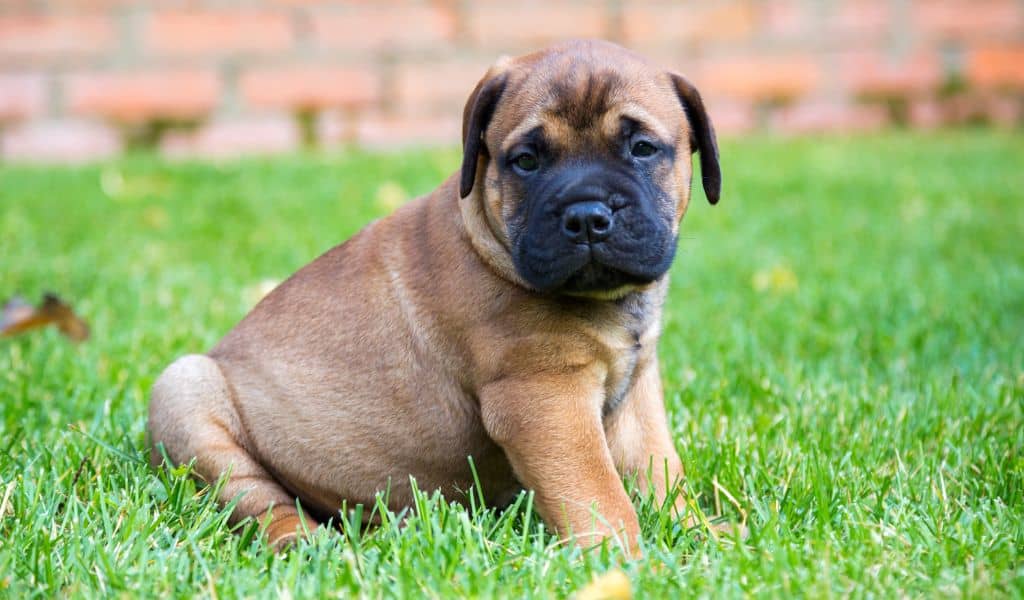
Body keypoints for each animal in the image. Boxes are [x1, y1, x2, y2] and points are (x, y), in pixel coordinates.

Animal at [148, 39, 724, 552]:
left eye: (642, 149)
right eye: (527, 161)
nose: (586, 216)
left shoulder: (637, 391)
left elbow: (659, 470)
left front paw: (701, 533)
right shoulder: (544, 397)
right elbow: (595, 491)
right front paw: (624, 558)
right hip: (185, 391)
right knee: (261, 502)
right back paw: (308, 544)